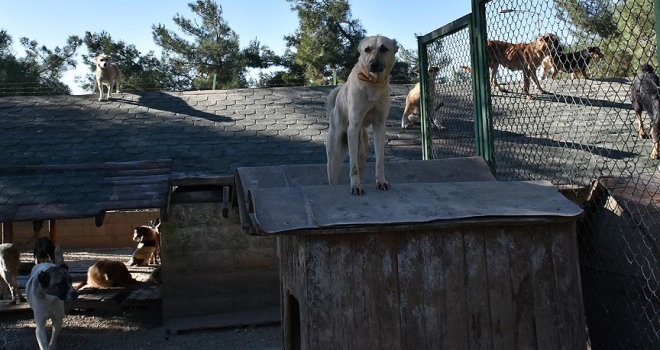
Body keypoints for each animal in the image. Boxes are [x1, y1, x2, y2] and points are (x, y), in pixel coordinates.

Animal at [324, 35, 398, 196]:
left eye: (384, 48)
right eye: (367, 49)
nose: (373, 64)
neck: (372, 83)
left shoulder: (379, 126)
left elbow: (379, 160)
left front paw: (381, 181)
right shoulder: (354, 126)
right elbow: (353, 167)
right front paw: (355, 186)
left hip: (362, 152)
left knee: (361, 165)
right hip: (334, 157)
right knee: (334, 176)